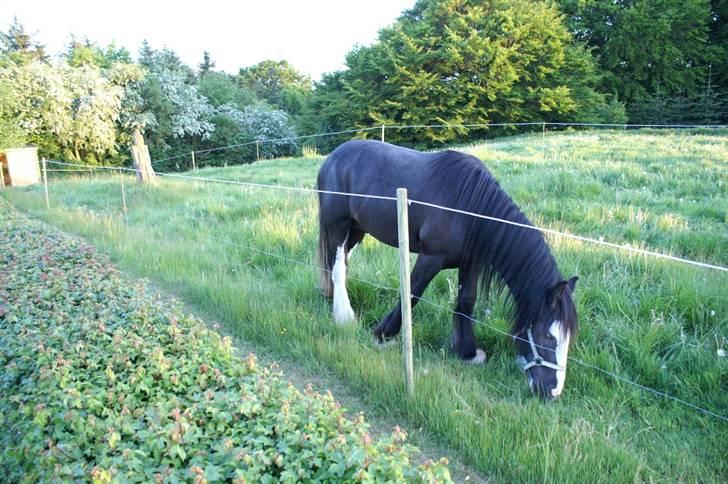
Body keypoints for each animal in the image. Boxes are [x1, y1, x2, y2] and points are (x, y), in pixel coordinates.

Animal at [316, 139, 576, 398]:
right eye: (549, 336)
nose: (552, 391)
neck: (469, 208)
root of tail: (333, 157)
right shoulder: (431, 258)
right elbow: (412, 294)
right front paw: (383, 334)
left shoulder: (470, 263)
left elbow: (467, 301)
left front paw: (468, 352)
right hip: (338, 225)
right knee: (338, 268)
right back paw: (344, 316)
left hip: (357, 230)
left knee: (340, 264)